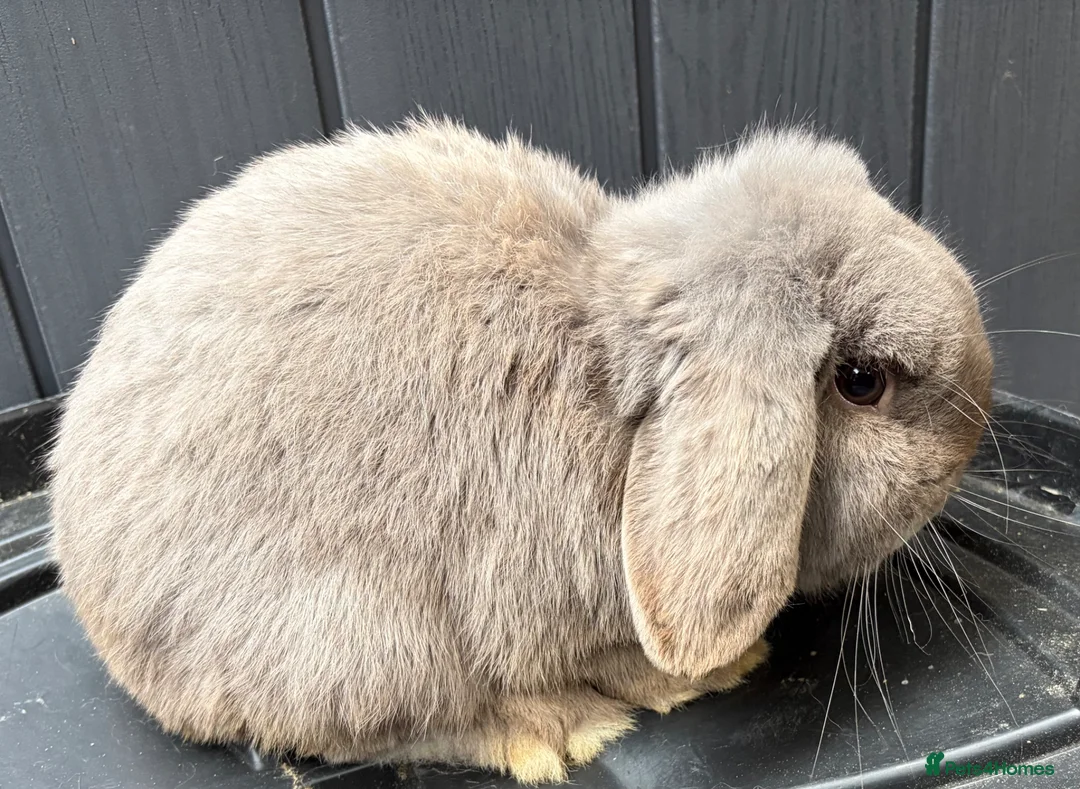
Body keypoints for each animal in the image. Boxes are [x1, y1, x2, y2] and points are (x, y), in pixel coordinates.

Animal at [47, 116, 993, 784]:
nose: (979, 427)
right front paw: (711, 671)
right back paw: (560, 729)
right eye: (862, 380)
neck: (611, 399)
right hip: (355, 631)